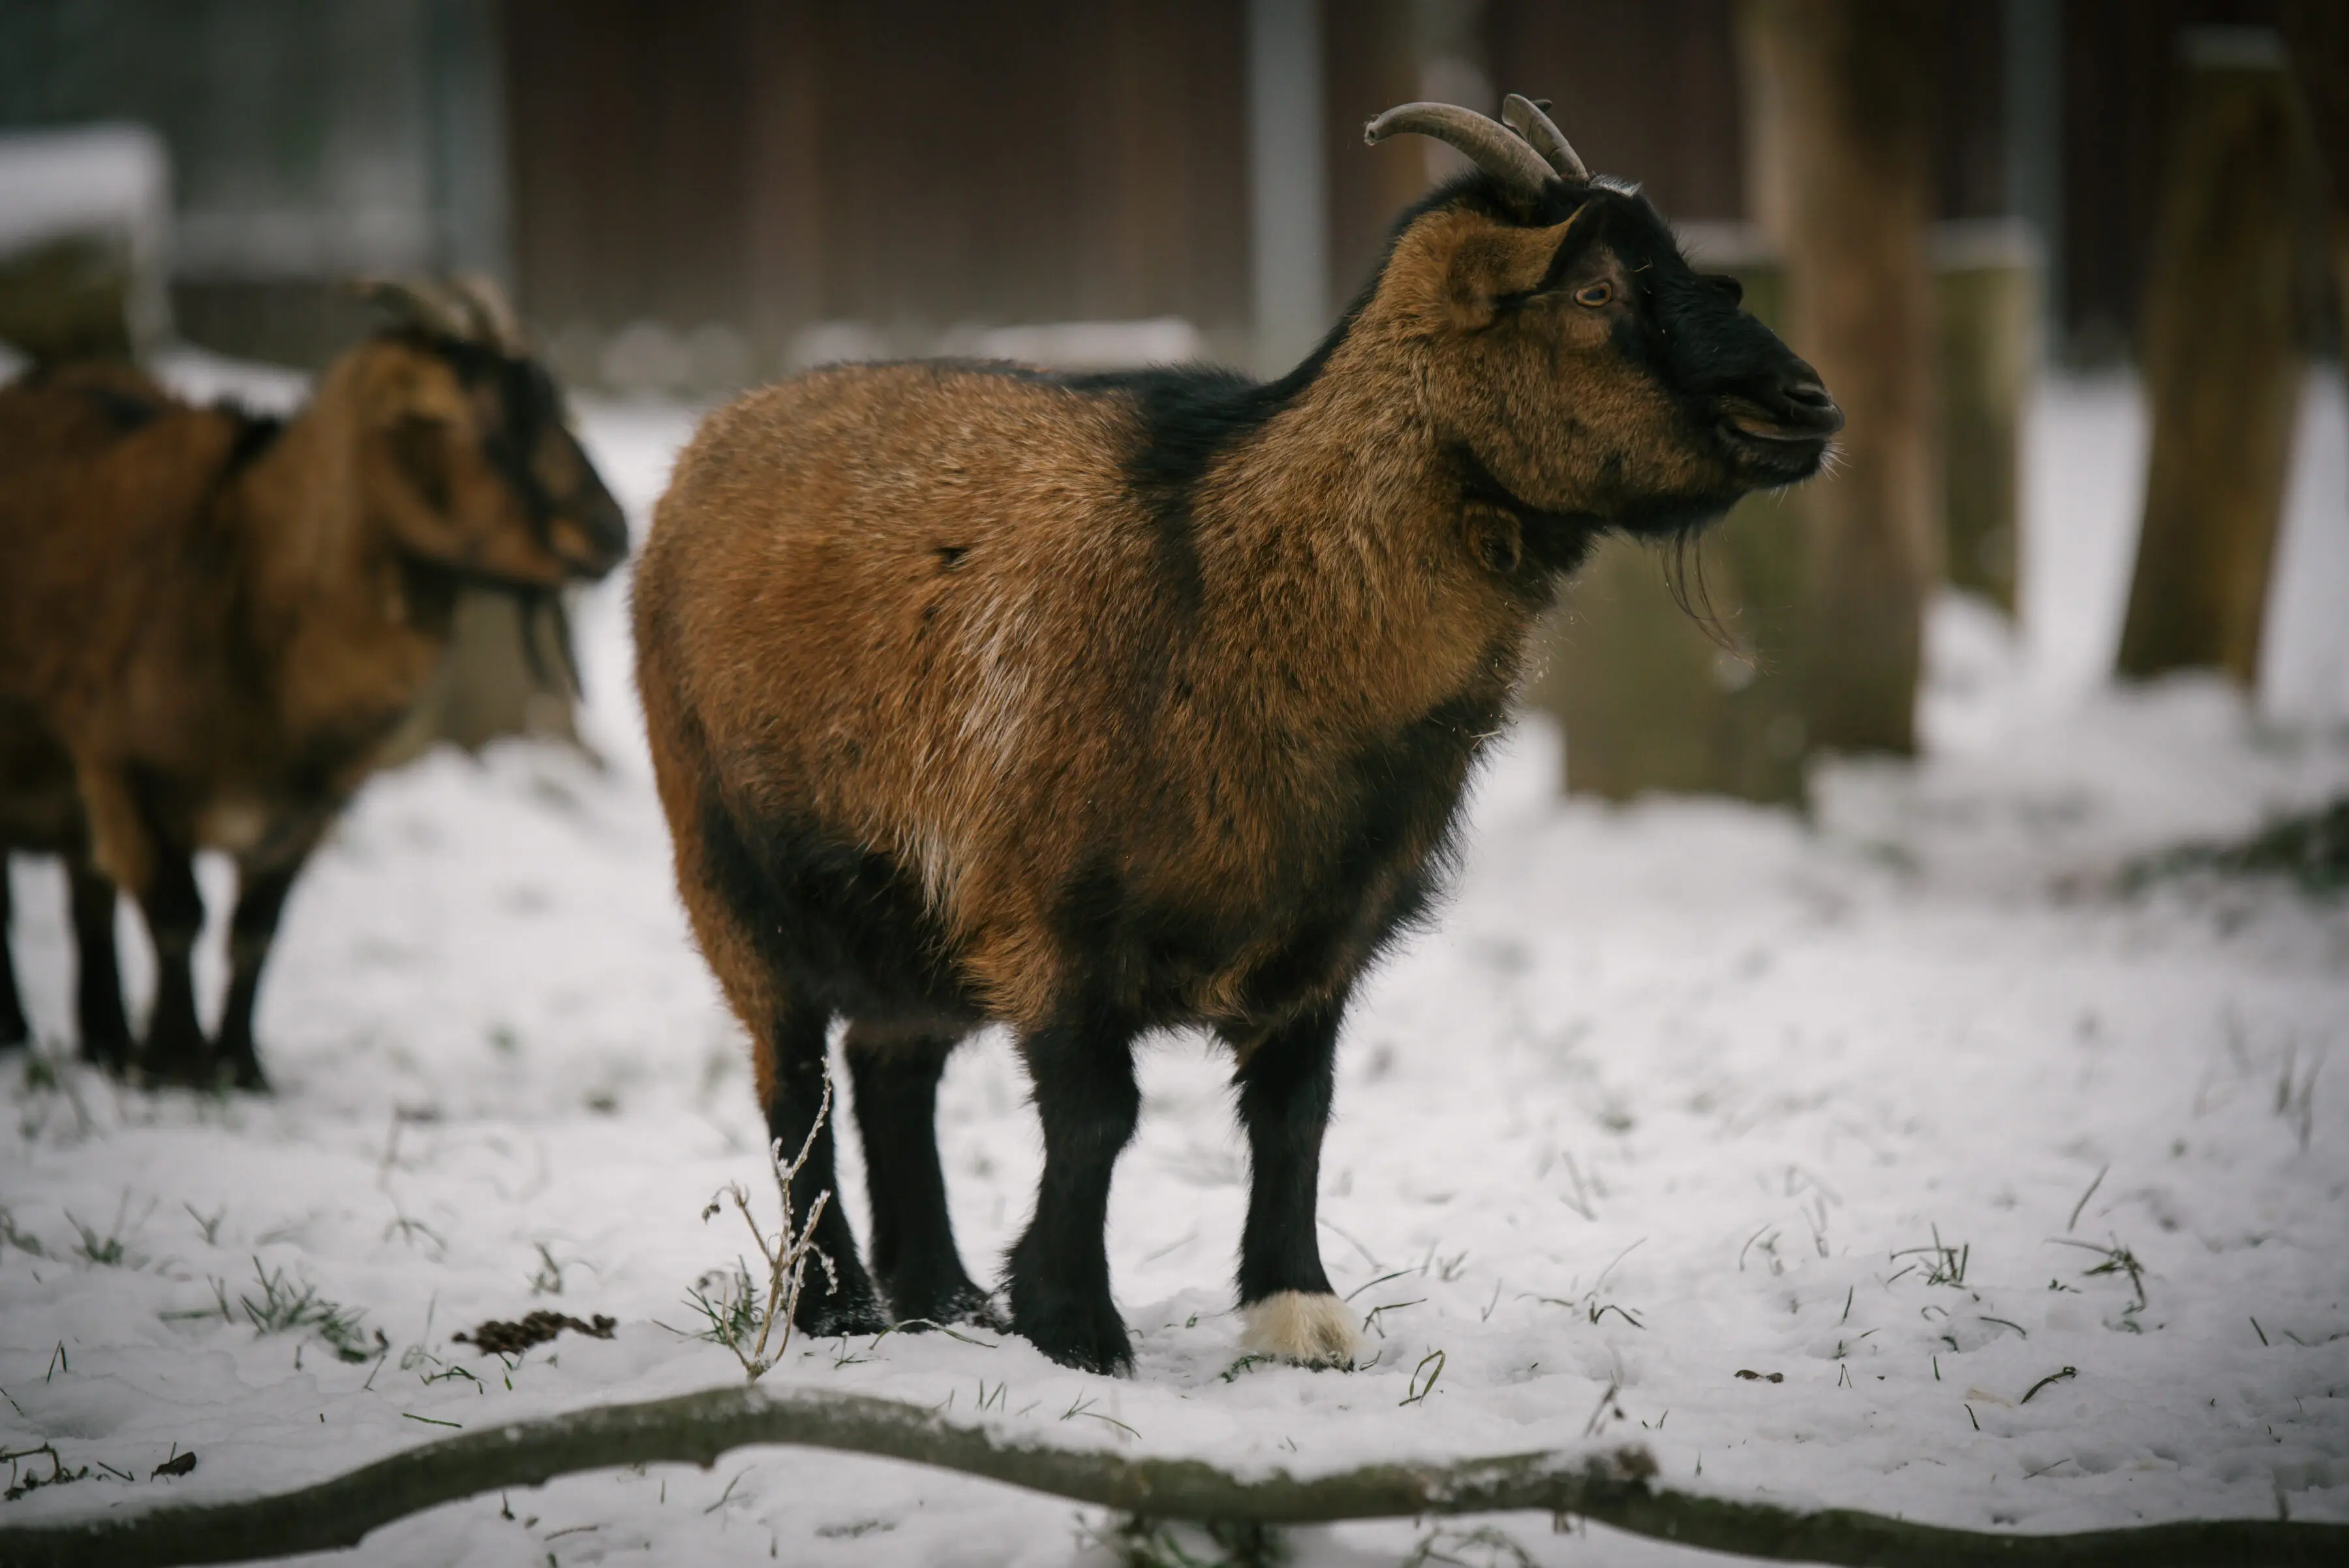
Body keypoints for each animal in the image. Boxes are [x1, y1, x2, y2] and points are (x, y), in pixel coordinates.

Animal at [0, 280, 627, 1088]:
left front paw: (240, 1065)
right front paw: (175, 1060)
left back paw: (101, 1041)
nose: (610, 530)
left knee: (88, 897)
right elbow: (175, 913)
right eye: (466, 418)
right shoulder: (119, 763)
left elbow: (255, 931)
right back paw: (24, 1032)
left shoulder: (313, 806)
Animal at [633, 98, 1843, 1374]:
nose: (1806, 404)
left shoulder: (1323, 925)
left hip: (912, 914)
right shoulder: (1049, 914)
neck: (1229, 581)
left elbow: (1296, 1110)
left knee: (888, 1061)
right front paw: (1075, 1319)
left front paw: (1295, 1308)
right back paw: (840, 1305)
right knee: (792, 1076)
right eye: (1597, 289)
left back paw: (940, 1293)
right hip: (731, 868)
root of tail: (708, 442)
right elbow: (1100, 1117)